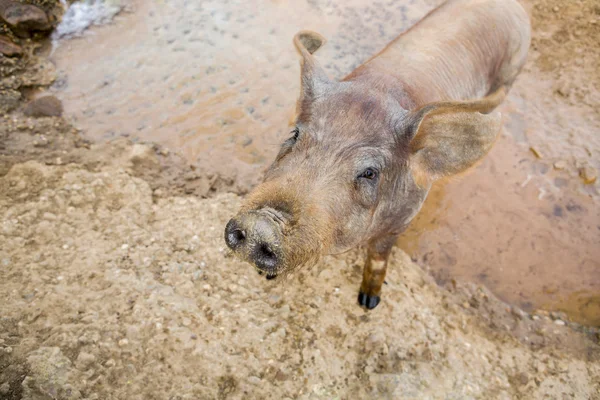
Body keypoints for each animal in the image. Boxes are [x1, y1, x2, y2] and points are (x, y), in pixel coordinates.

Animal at [225, 0, 528, 310]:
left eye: (369, 172)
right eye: (294, 134)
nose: (261, 224)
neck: (380, 87)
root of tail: (514, 7)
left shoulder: (401, 222)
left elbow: (379, 258)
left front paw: (368, 303)